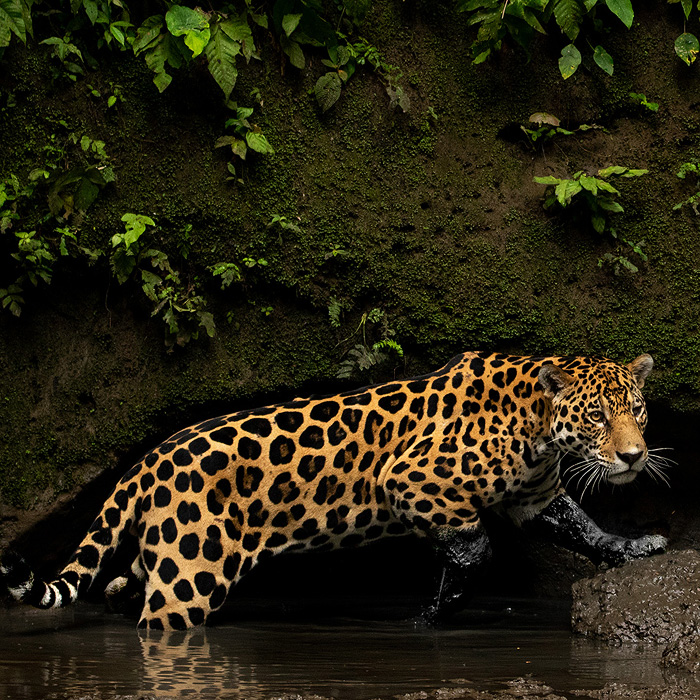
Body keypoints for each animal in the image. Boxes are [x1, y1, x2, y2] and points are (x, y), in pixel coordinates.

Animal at [0, 351, 667, 630]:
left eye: (637, 412)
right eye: (598, 417)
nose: (633, 456)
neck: (537, 425)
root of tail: (144, 462)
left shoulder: (533, 496)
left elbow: (581, 526)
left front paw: (634, 547)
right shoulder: (410, 480)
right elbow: (472, 547)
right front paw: (435, 609)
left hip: (162, 555)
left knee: (123, 583)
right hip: (189, 582)